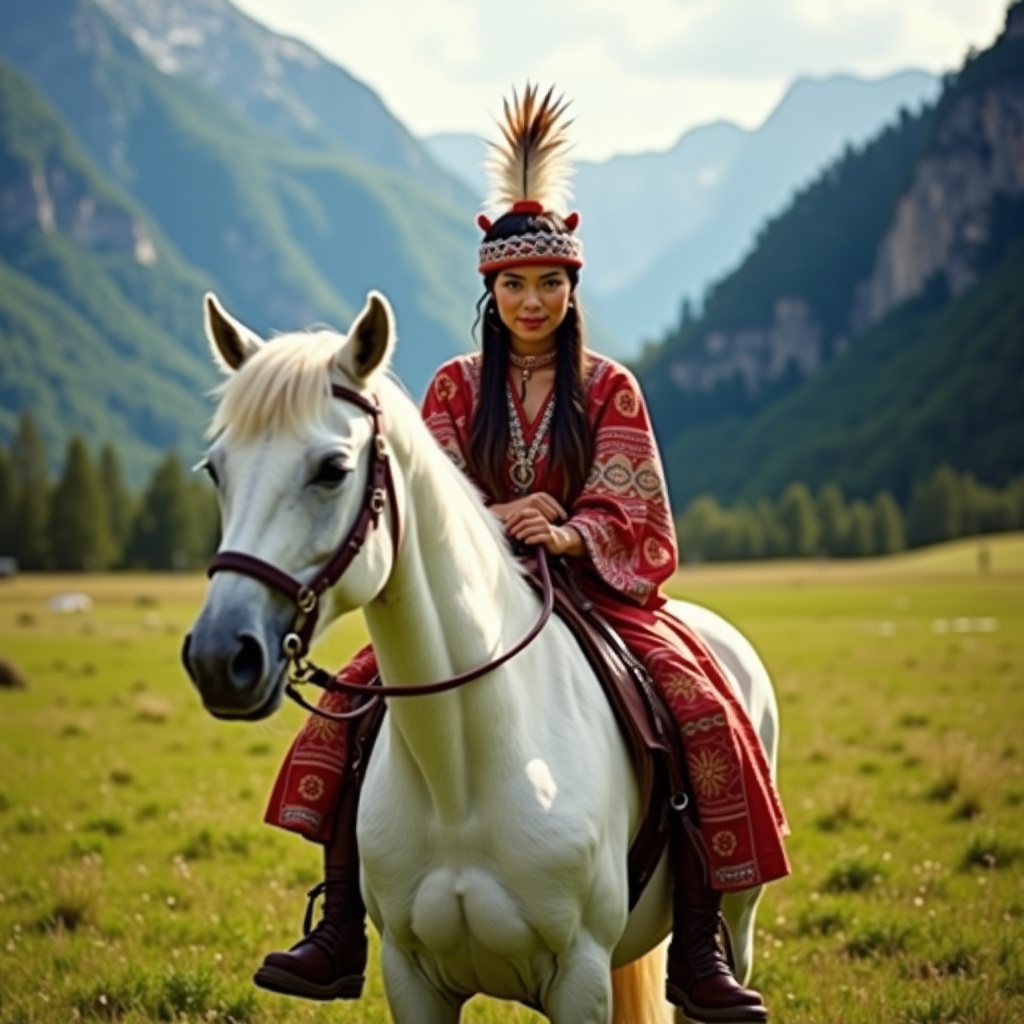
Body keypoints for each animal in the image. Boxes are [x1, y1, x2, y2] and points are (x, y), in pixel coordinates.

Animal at [184, 290, 778, 1024]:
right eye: (217, 469)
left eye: (333, 470)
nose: (220, 656)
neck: (462, 773)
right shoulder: (412, 976)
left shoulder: (582, 976)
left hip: (738, 919)